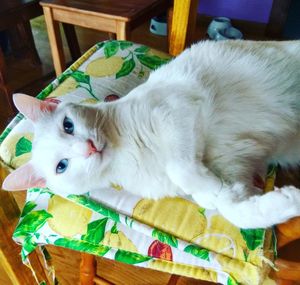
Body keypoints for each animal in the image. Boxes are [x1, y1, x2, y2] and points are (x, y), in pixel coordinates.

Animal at [2, 40, 300, 227]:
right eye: (61, 166)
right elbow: (232, 209)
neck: (126, 154)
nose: (88, 147)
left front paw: (208, 188)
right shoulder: (230, 162)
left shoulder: (177, 110)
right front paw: (286, 202)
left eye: (68, 125)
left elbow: (180, 168)